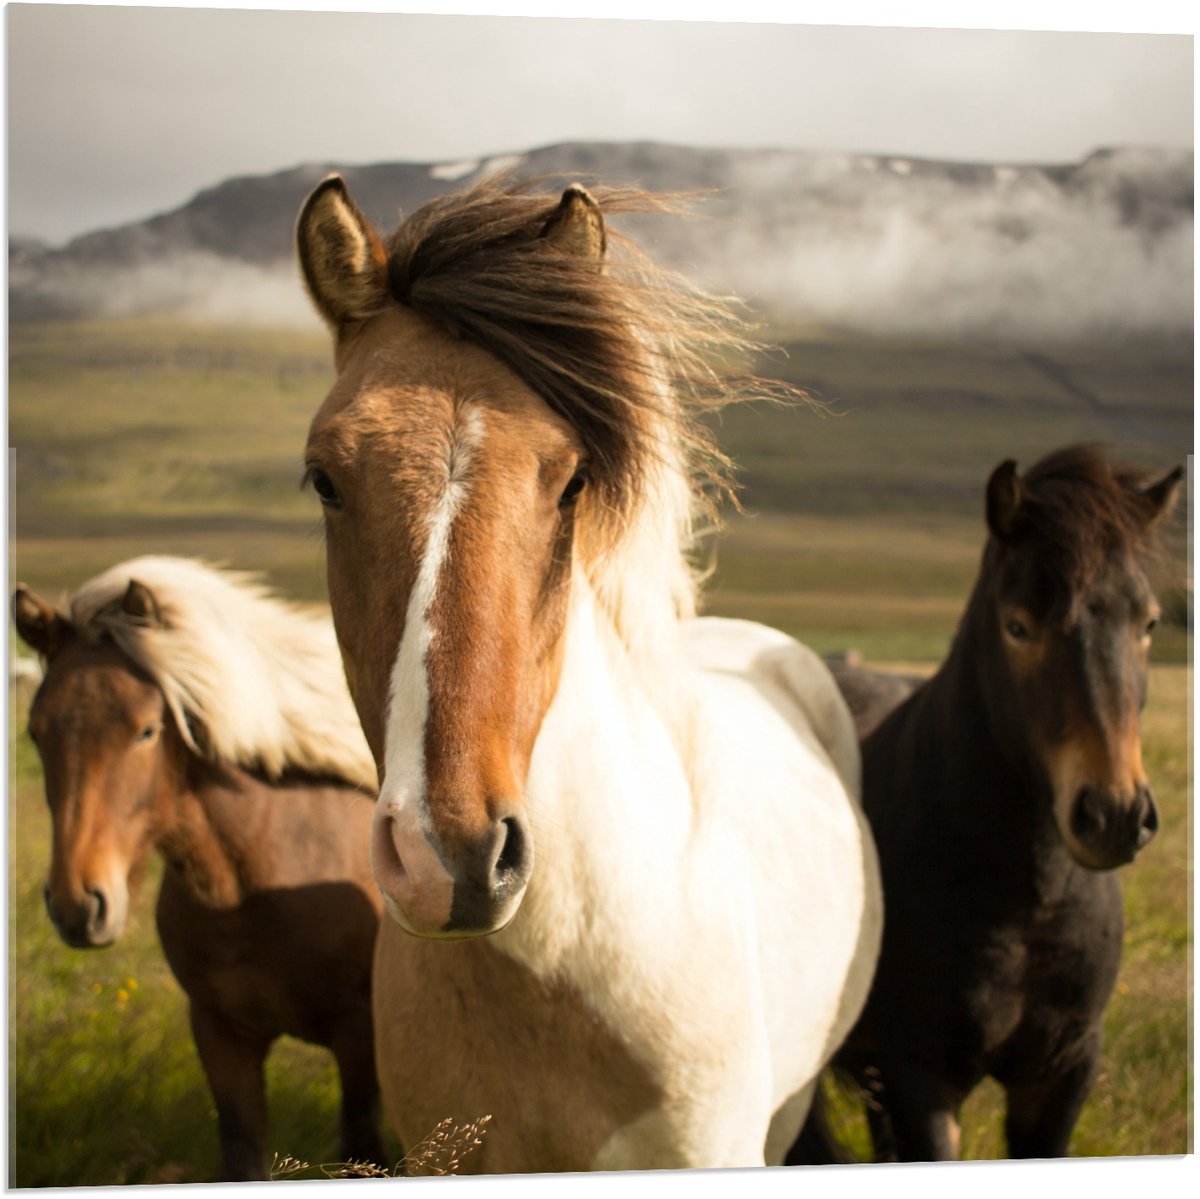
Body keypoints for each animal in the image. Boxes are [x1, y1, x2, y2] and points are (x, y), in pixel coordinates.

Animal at [13, 557, 386, 1181]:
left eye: (146, 730)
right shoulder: (220, 1035)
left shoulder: (359, 1035)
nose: (77, 905)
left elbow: (365, 1149)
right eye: (36, 732)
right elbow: (242, 1153)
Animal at [824, 445, 1182, 1162]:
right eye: (1018, 625)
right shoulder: (921, 1079)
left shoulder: (1061, 1073)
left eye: (1150, 623)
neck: (1027, 903)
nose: (1115, 815)